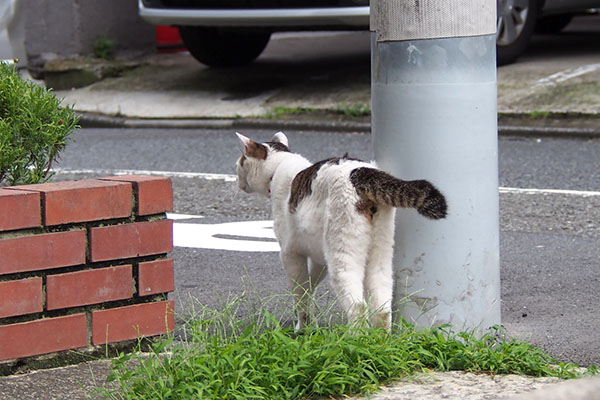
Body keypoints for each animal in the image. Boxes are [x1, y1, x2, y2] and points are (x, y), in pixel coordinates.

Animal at [234, 131, 446, 332]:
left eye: (241, 161)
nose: (237, 180)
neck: (279, 166)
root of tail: (362, 173)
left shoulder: (290, 254)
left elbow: (300, 292)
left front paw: (303, 326)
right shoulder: (320, 258)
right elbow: (309, 285)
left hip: (342, 254)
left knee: (358, 306)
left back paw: (357, 341)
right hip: (381, 251)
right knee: (382, 307)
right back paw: (380, 340)